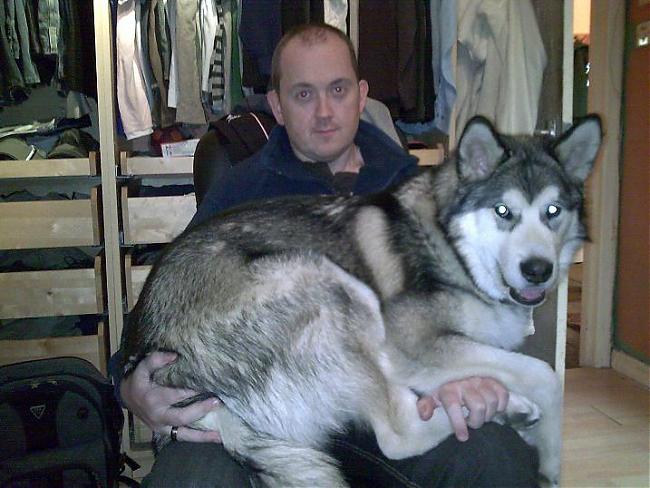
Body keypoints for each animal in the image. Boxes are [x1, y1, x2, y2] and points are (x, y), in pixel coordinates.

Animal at [121, 115, 602, 487]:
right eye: (504, 212)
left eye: (553, 212)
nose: (538, 270)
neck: (452, 247)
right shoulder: (418, 343)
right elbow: (546, 375)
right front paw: (551, 461)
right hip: (332, 284)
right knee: (396, 432)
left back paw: (502, 409)